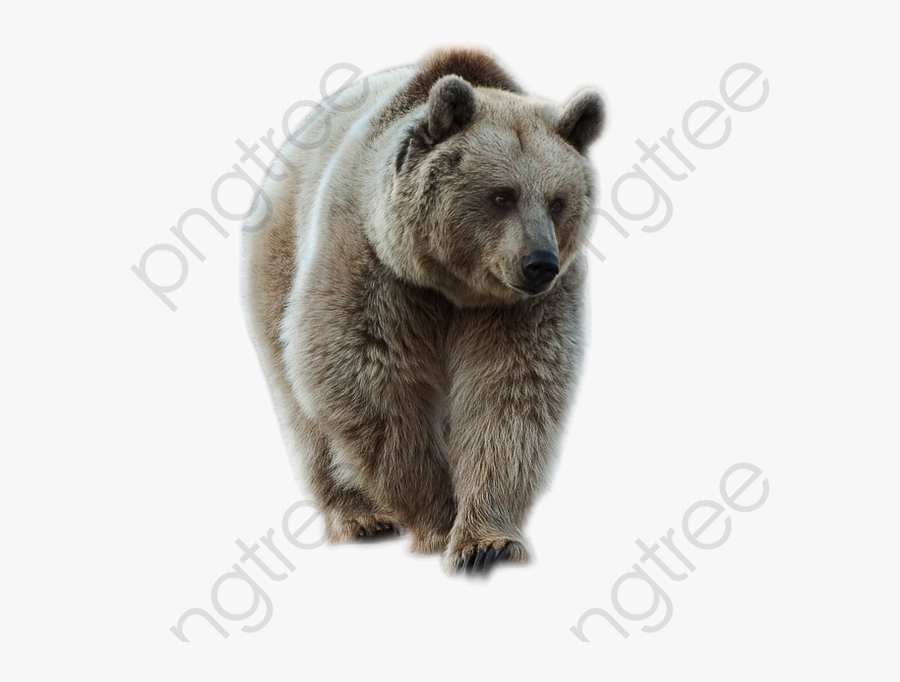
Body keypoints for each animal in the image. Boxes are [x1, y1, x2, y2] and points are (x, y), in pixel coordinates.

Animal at [241, 47, 604, 574]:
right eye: (502, 195)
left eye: (558, 201)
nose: (539, 263)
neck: (453, 287)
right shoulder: (376, 269)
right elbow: (369, 381)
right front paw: (436, 518)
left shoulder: (519, 309)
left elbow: (510, 394)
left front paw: (485, 542)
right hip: (281, 257)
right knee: (302, 410)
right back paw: (360, 517)